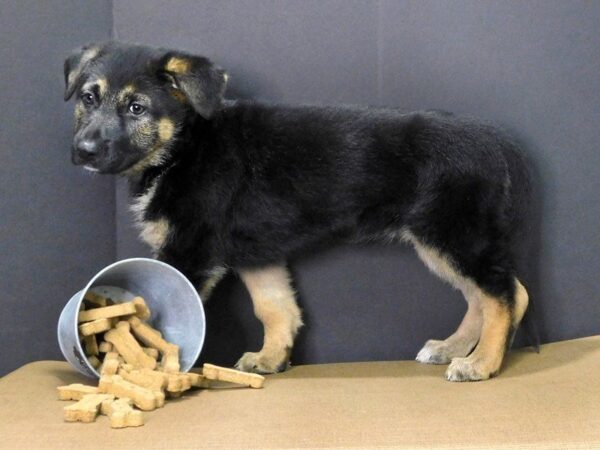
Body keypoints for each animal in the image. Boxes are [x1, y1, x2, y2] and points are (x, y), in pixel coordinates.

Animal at [65, 42, 532, 382]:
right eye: (88, 98)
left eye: (136, 108)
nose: (82, 152)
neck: (183, 147)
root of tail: (497, 142)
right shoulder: (258, 253)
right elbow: (276, 309)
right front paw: (272, 358)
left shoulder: (189, 253)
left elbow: (162, 320)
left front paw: (148, 372)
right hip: (443, 240)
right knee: (485, 295)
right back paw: (452, 349)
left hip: (454, 235)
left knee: (504, 295)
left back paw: (482, 364)